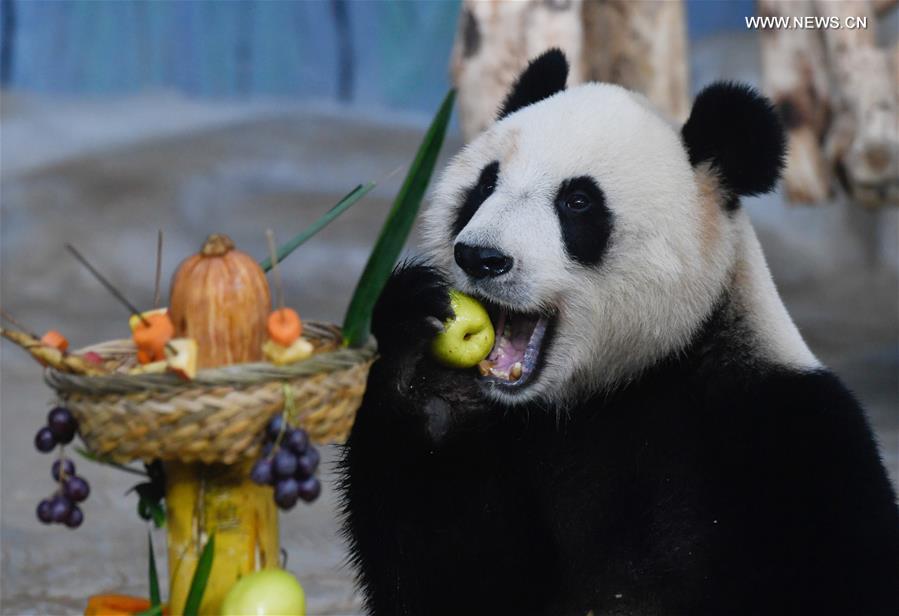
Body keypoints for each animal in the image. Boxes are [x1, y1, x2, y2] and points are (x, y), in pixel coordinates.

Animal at [338, 49, 899, 616]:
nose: (480, 257)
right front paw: (422, 368)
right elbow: (449, 574)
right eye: (485, 185)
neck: (612, 386)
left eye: (578, 202)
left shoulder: (789, 436)